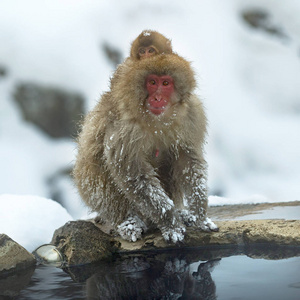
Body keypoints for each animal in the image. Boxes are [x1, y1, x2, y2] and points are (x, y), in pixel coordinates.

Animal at [73, 29, 218, 244]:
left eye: (165, 83)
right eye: (152, 82)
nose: (157, 97)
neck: (158, 120)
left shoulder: (192, 115)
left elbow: (188, 161)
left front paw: (199, 215)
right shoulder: (124, 126)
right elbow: (133, 174)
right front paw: (170, 223)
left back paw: (180, 213)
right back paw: (131, 221)